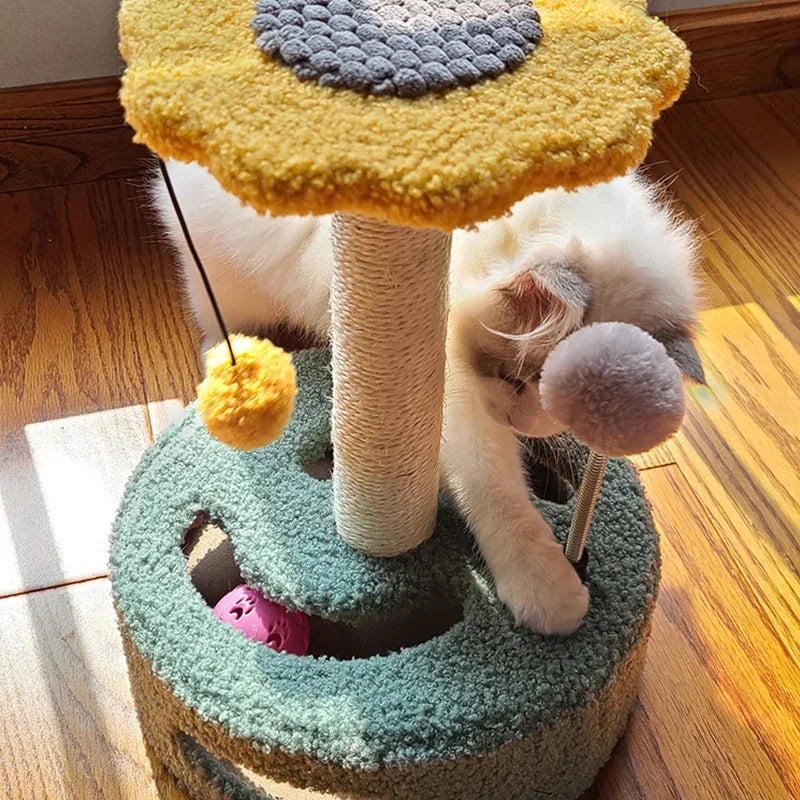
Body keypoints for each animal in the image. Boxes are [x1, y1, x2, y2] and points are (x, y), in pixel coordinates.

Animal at [152, 162, 700, 636]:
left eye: (571, 414)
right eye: (515, 379)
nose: (521, 424)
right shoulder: (457, 401)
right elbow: (498, 494)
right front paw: (550, 592)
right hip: (222, 279)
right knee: (216, 324)